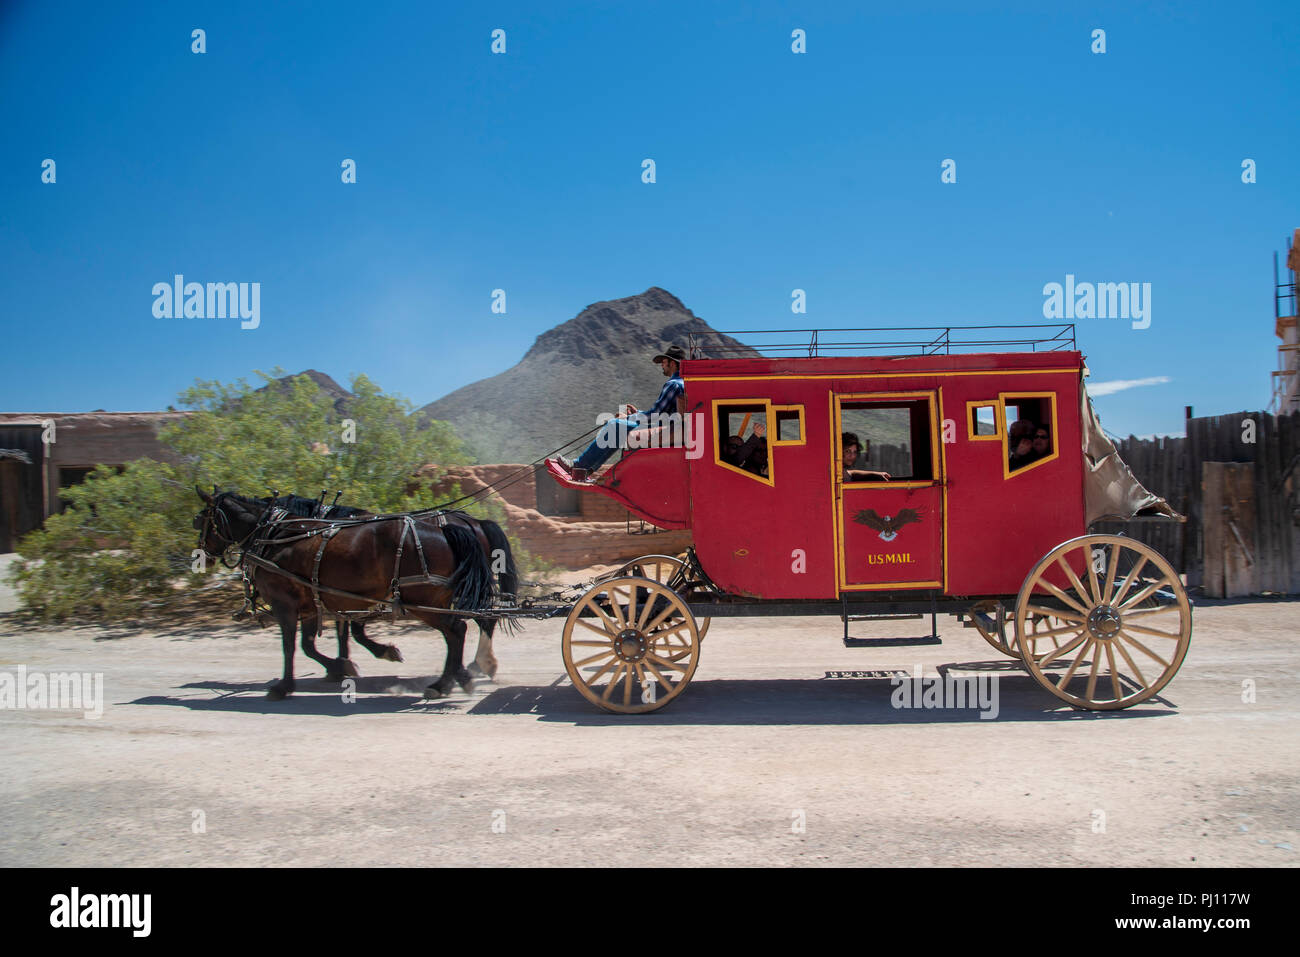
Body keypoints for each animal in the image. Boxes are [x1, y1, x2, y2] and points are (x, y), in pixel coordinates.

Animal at [195, 488, 514, 696]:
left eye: (202, 520)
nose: (201, 557)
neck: (278, 535)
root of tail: (473, 522)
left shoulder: (289, 602)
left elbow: (296, 644)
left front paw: (286, 686)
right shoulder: (325, 599)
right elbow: (321, 640)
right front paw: (342, 666)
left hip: (429, 598)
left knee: (466, 627)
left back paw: (467, 672)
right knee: (467, 627)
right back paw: (462, 674)